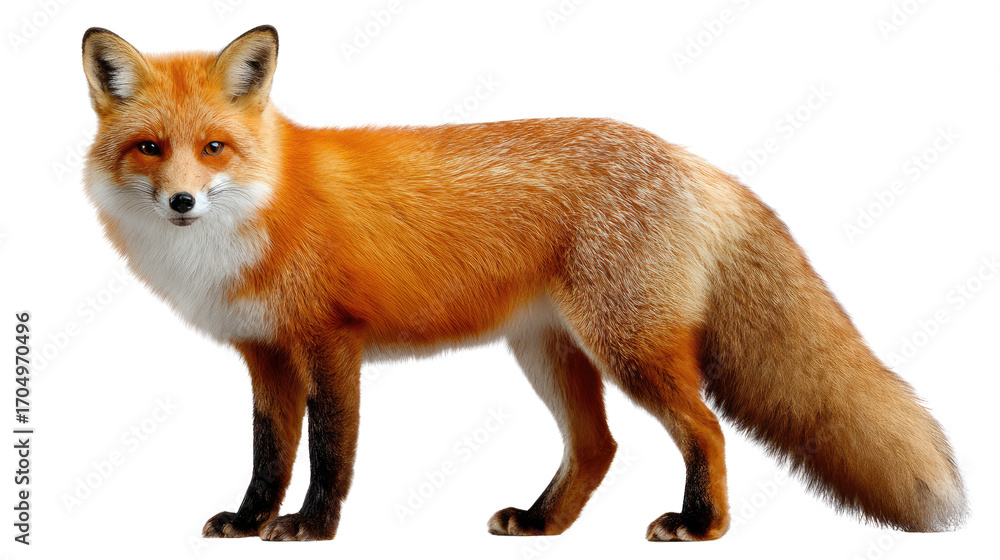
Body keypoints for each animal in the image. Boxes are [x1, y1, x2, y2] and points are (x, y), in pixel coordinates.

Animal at [81, 25, 967, 541]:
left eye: (215, 148)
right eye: (151, 149)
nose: (182, 202)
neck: (266, 206)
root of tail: (693, 161)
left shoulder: (332, 342)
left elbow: (331, 451)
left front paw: (311, 528)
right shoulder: (265, 354)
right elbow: (269, 453)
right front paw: (250, 520)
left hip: (628, 349)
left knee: (706, 429)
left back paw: (702, 525)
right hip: (549, 352)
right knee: (598, 446)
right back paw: (543, 523)